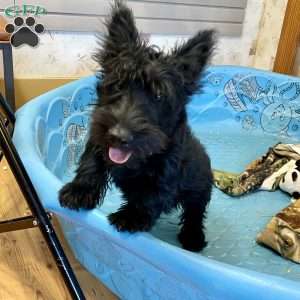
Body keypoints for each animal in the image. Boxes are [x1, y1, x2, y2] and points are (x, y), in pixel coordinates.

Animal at [59, 1, 213, 252]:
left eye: (159, 95)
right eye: (117, 85)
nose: (119, 136)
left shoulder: (168, 167)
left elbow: (154, 192)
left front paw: (130, 216)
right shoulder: (100, 135)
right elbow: (91, 161)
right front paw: (79, 190)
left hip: (200, 188)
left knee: (195, 212)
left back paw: (192, 236)